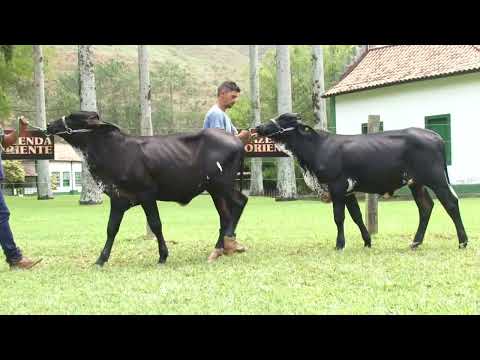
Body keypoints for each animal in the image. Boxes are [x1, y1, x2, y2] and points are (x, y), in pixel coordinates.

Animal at [45, 111, 249, 266]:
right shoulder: (118, 199)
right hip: (216, 191)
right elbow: (111, 228)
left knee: (240, 202)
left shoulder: (147, 195)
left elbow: (156, 224)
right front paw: (101, 259)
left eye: (72, 117)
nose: (49, 124)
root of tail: (236, 140)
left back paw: (229, 242)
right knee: (225, 216)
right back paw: (218, 249)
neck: (114, 151)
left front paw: (163, 256)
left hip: (222, 186)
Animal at [256, 112, 466, 250]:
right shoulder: (348, 190)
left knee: (450, 203)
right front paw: (367, 241)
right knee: (426, 207)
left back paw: (463, 241)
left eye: (285, 118)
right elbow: (356, 216)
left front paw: (339, 244)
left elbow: (339, 217)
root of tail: (435, 136)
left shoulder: (337, 186)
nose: (258, 127)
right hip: (416, 183)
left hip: (436, 179)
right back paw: (415, 242)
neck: (316, 149)